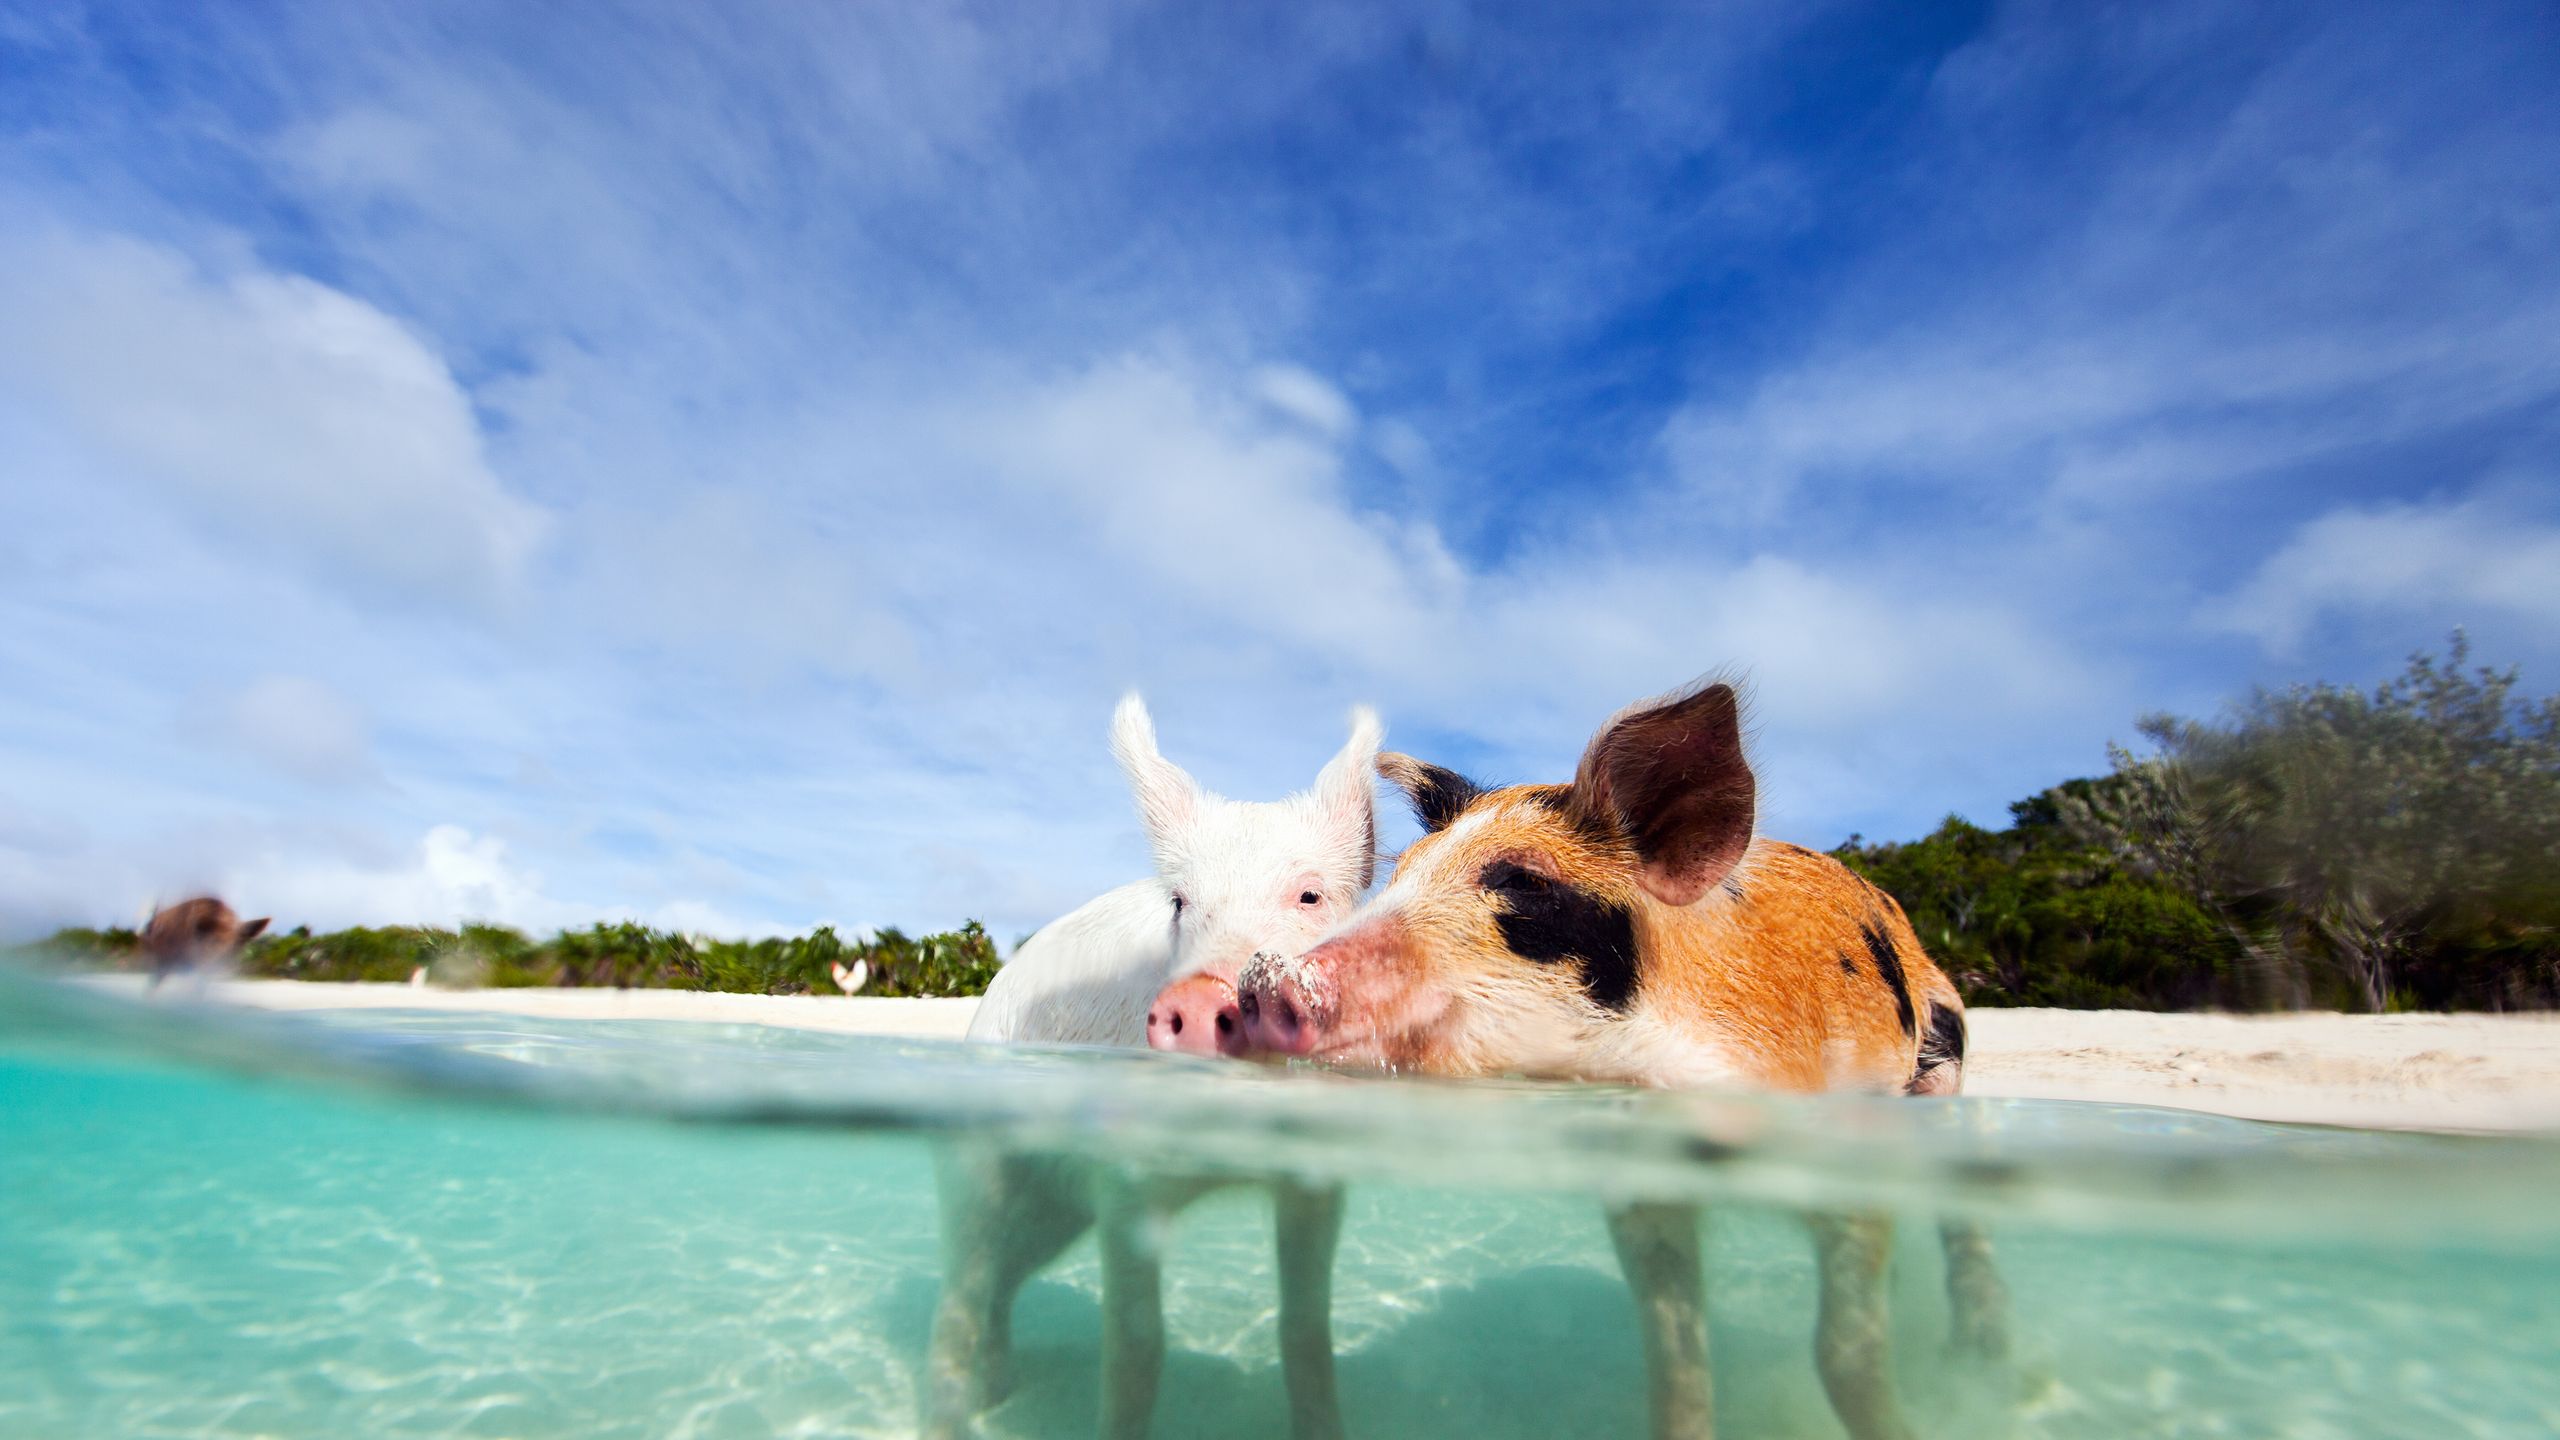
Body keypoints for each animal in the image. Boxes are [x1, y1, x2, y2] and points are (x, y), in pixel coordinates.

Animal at [926, 693, 1382, 1440]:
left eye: (1310, 896)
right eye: (1179, 903)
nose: (1198, 998)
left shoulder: (1316, 1179)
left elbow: (1306, 1334)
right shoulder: (1125, 1181)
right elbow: (1138, 1349)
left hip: (1051, 1213)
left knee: (1003, 1281)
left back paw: (1004, 1387)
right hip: (976, 1158)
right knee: (963, 1293)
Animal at [1217, 681, 2007, 1440]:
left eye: (1522, 881)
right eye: (1402, 871)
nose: (1262, 980)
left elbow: (1845, 1352)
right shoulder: (1643, 1192)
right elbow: (1676, 1357)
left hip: (1944, 1063)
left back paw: (1976, 1360)